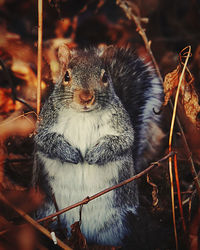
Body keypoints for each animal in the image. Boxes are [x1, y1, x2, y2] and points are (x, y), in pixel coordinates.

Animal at [32, 44, 164, 247]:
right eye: (66, 76)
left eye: (105, 77)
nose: (86, 97)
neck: (83, 115)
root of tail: (86, 233)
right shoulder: (46, 123)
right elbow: (46, 141)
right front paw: (70, 154)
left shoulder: (121, 126)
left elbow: (124, 141)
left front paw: (93, 155)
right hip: (48, 214)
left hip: (122, 222)